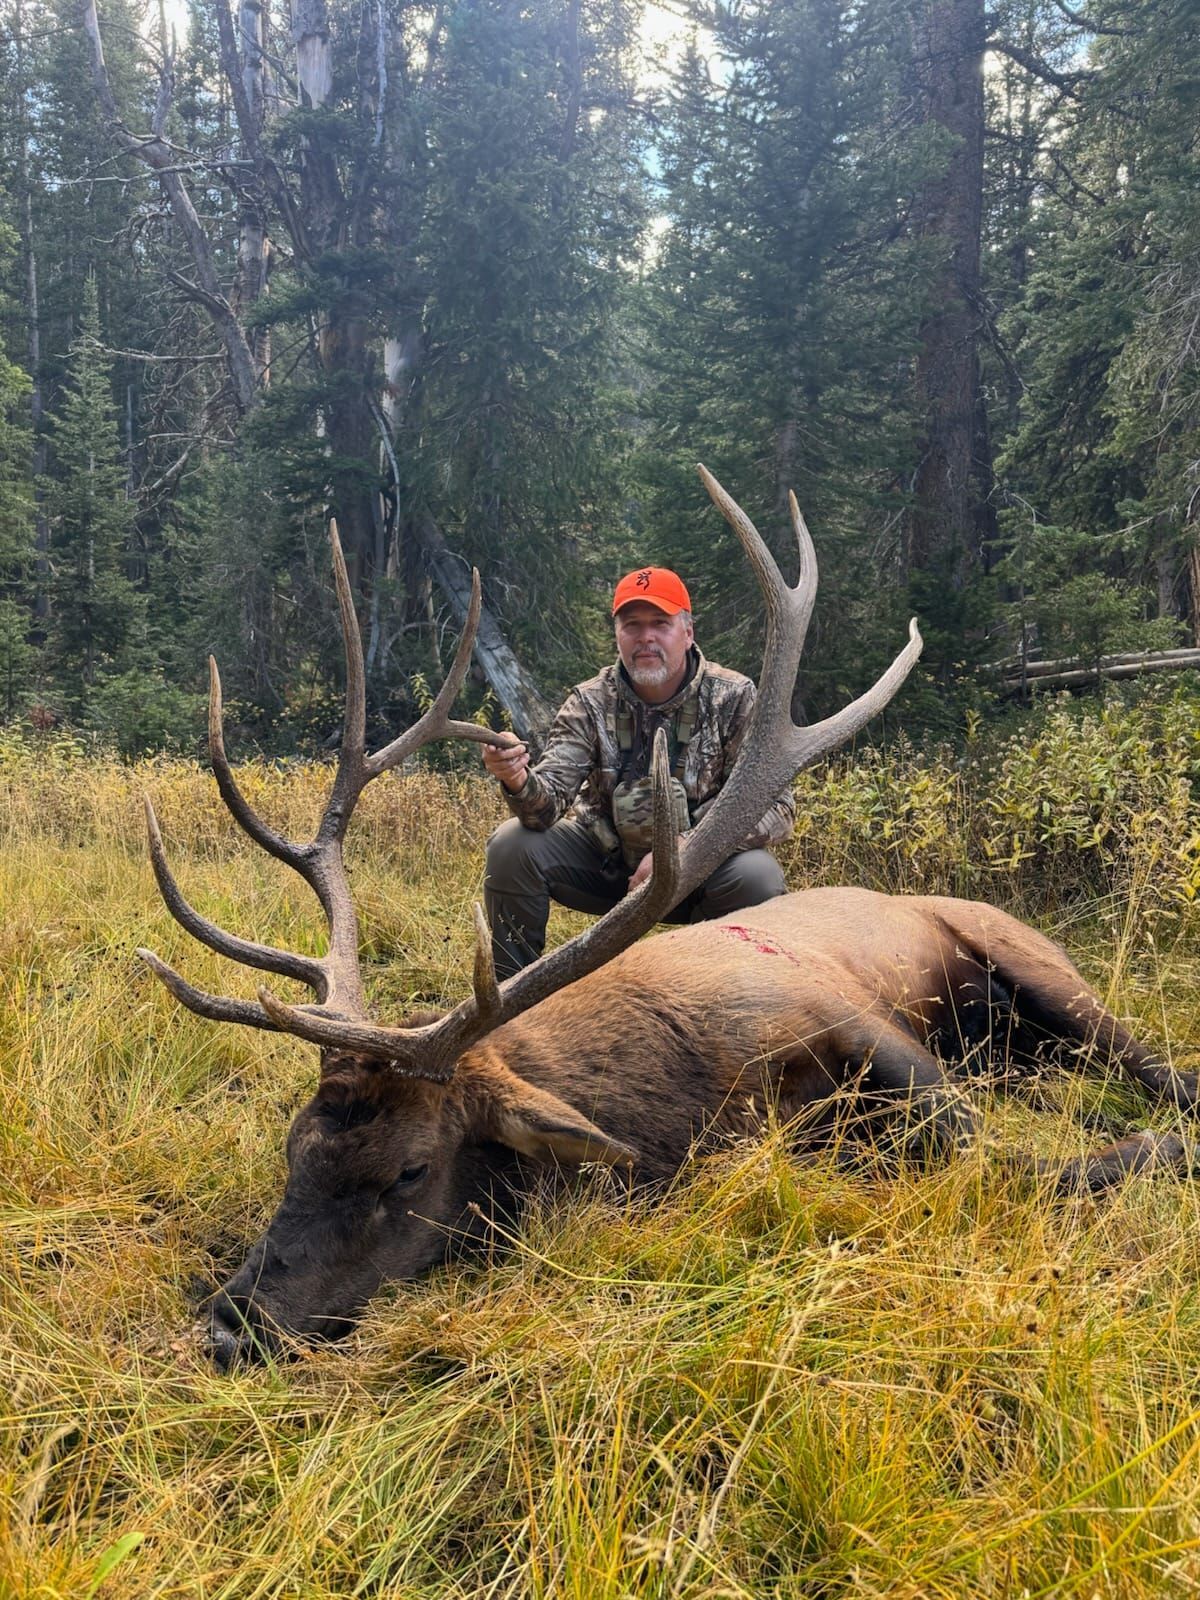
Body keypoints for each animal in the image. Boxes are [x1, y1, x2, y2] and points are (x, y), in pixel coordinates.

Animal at [138, 467, 1200, 1368]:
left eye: (409, 1172)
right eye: (294, 1148)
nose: (230, 1325)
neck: (686, 1103)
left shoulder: (859, 1023)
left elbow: (1006, 1160)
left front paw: (1158, 1151)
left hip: (1039, 966)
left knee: (1152, 1064)